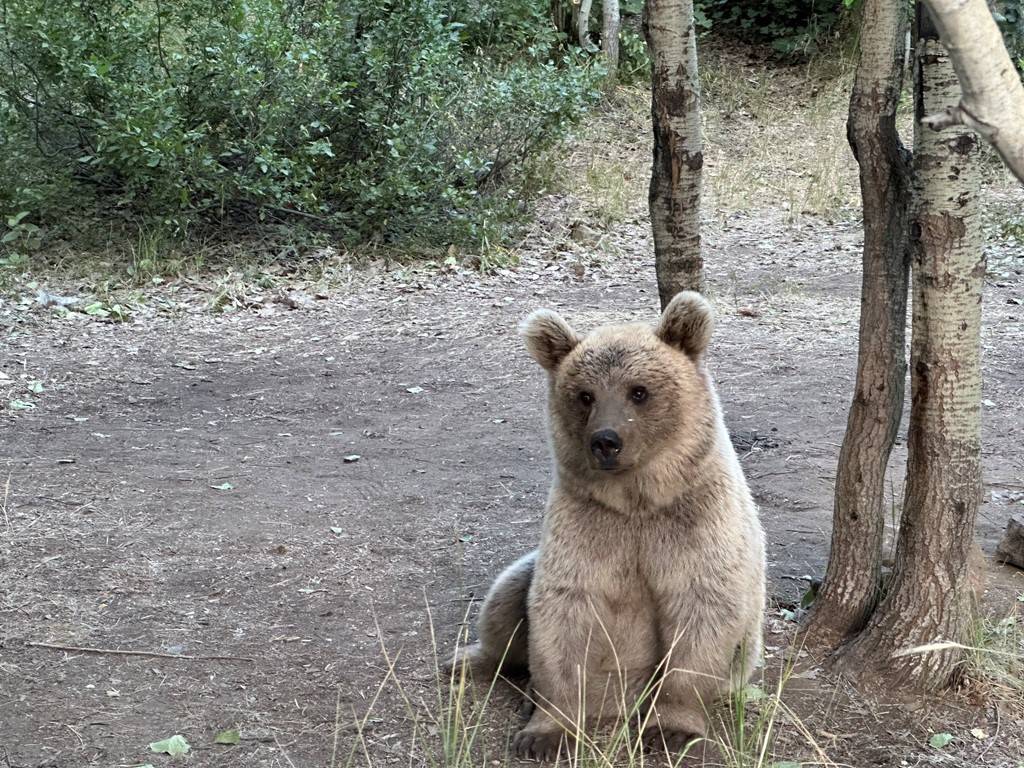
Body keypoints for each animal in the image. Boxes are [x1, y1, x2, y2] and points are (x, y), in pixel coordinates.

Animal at [452, 292, 765, 765]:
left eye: (639, 391)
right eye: (584, 395)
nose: (605, 441)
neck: (637, 500)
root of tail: (615, 704)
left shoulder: (695, 524)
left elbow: (701, 615)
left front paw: (670, 729)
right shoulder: (589, 524)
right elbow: (563, 612)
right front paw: (544, 733)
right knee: (508, 595)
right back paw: (473, 662)